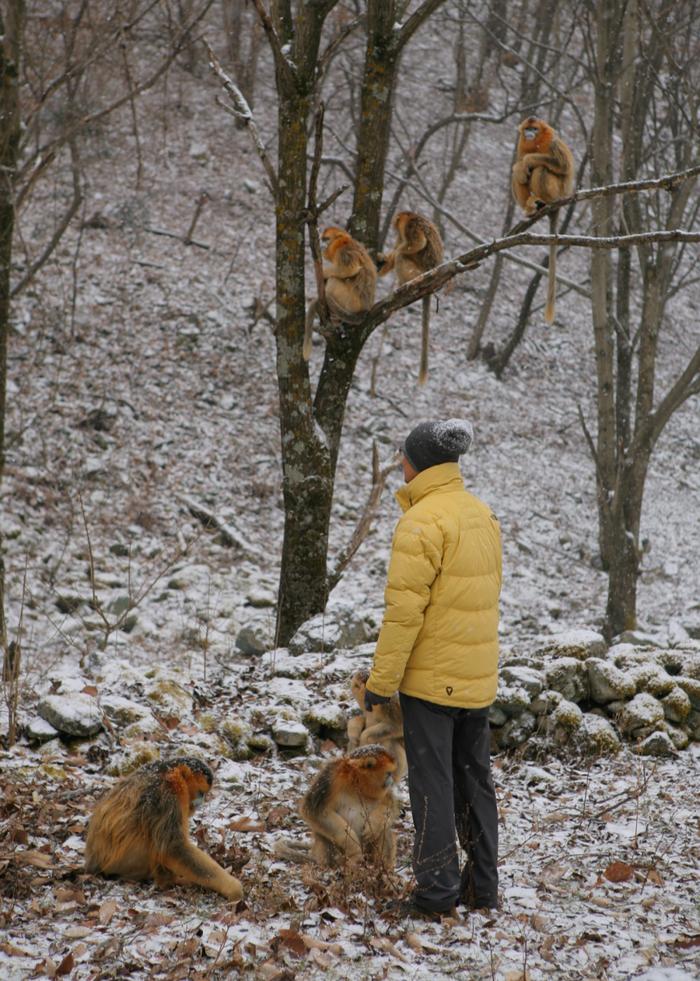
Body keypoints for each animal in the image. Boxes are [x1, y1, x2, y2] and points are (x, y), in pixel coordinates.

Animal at [84, 756, 243, 900]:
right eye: (201, 793)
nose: (201, 802)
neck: (167, 774)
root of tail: (93, 865)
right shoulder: (165, 796)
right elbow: (173, 848)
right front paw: (232, 887)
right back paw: (167, 881)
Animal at [302, 226, 378, 360]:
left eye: (327, 240)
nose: (324, 248)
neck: (344, 242)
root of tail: (365, 310)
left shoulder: (344, 253)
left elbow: (349, 270)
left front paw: (325, 274)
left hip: (351, 301)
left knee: (334, 280)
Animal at [378, 210, 442, 382]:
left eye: (397, 221)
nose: (394, 223)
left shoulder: (410, 226)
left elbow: (419, 243)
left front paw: (394, 253)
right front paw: (383, 260)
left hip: (419, 272)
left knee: (402, 257)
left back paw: (403, 284)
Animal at [508, 117, 576, 326]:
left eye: (534, 129)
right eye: (527, 129)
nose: (529, 134)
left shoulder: (553, 143)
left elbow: (561, 165)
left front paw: (529, 160)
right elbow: (519, 166)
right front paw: (521, 166)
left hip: (558, 191)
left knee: (541, 169)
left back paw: (543, 201)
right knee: (519, 173)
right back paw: (531, 207)